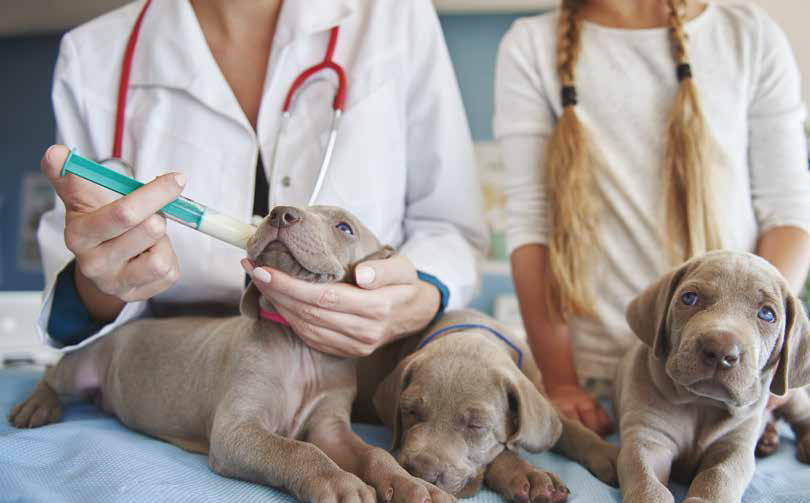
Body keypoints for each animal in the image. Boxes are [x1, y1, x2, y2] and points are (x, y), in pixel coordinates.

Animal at [11, 205, 454, 503]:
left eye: (345, 227)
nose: (280, 213)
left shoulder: (331, 426)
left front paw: (413, 485)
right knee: (52, 374)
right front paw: (340, 482)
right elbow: (297, 449)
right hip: (83, 362)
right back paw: (36, 407)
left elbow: (372, 452)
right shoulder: (235, 431)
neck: (299, 349)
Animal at [368, 312, 620, 503]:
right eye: (410, 411)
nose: (421, 472)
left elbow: (569, 429)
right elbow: (501, 451)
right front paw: (531, 476)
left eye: (476, 426)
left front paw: (609, 453)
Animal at [612, 251, 808, 503]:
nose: (720, 351)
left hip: (790, 395)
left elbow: (718, 475)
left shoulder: (734, 447)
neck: (702, 404)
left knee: (802, 414)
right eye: (689, 298)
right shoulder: (647, 438)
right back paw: (769, 440)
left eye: (767, 314)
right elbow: (648, 482)